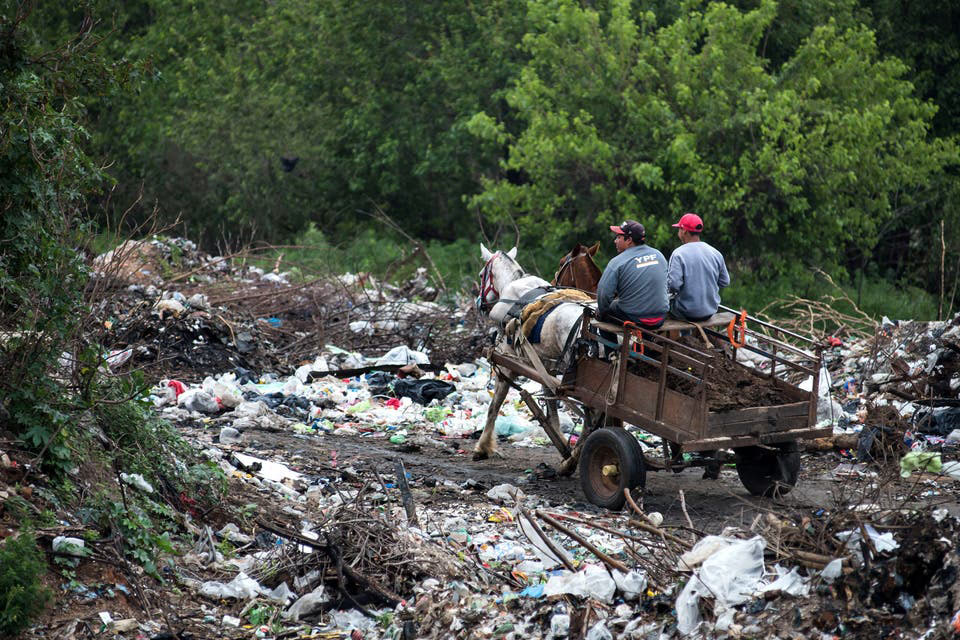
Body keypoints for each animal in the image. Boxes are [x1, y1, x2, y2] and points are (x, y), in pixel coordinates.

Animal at [472, 242, 592, 468]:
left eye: (482, 274)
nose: (479, 303)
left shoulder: (507, 365)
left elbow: (494, 406)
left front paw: (482, 447)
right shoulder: (546, 367)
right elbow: (551, 407)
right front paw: (561, 441)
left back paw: (575, 458)